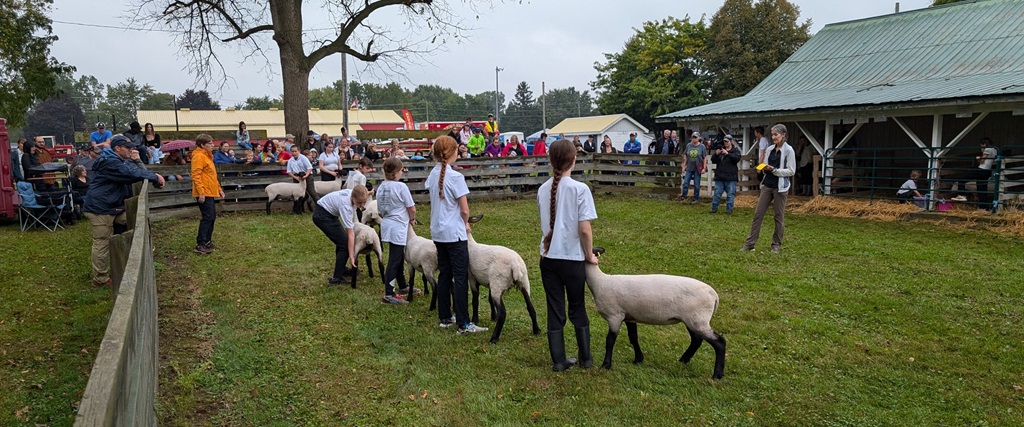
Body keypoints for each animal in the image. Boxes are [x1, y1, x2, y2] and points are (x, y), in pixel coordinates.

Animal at [465, 215, 541, 344]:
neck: (469, 243)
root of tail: (515, 265)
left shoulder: (472, 278)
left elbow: (475, 299)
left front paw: (475, 320)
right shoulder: (490, 283)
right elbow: (489, 299)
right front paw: (493, 317)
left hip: (498, 283)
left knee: (503, 312)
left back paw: (494, 338)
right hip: (523, 282)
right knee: (530, 307)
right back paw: (536, 330)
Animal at [585, 247, 726, 380]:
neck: (600, 282)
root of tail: (714, 295)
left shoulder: (615, 316)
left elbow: (610, 341)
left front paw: (605, 365)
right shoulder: (629, 316)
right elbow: (633, 337)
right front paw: (638, 359)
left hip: (698, 319)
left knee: (719, 342)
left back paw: (717, 375)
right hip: (692, 320)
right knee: (696, 340)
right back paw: (683, 360)